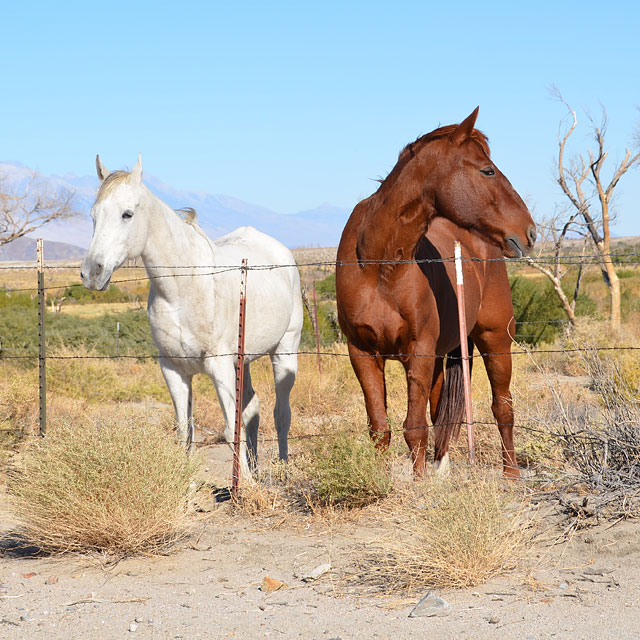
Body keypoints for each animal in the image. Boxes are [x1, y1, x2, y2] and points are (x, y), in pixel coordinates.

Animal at [80, 154, 304, 476]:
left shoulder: (219, 367)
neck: (182, 291)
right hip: (244, 360)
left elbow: (230, 429)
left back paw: (283, 467)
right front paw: (189, 485)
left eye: (127, 214)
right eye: (93, 215)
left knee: (281, 412)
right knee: (253, 409)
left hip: (285, 350)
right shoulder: (174, 370)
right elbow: (185, 434)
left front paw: (244, 485)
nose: (91, 273)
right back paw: (255, 467)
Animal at [336, 109, 536, 476]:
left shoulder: (419, 351)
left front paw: (419, 483)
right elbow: (380, 428)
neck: (379, 264)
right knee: (439, 409)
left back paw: (511, 474)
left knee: (503, 408)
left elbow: (414, 428)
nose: (529, 233)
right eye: (487, 170)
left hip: (495, 340)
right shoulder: (362, 353)